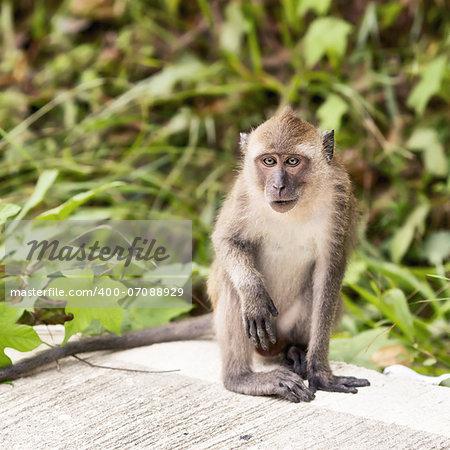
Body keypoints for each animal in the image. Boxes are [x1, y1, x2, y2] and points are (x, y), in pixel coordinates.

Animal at [207, 107, 370, 402]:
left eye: (293, 161)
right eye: (269, 161)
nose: (278, 185)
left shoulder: (340, 199)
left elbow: (328, 275)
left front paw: (320, 372)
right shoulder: (244, 192)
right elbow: (227, 240)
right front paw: (254, 295)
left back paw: (295, 351)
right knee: (231, 285)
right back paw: (242, 378)